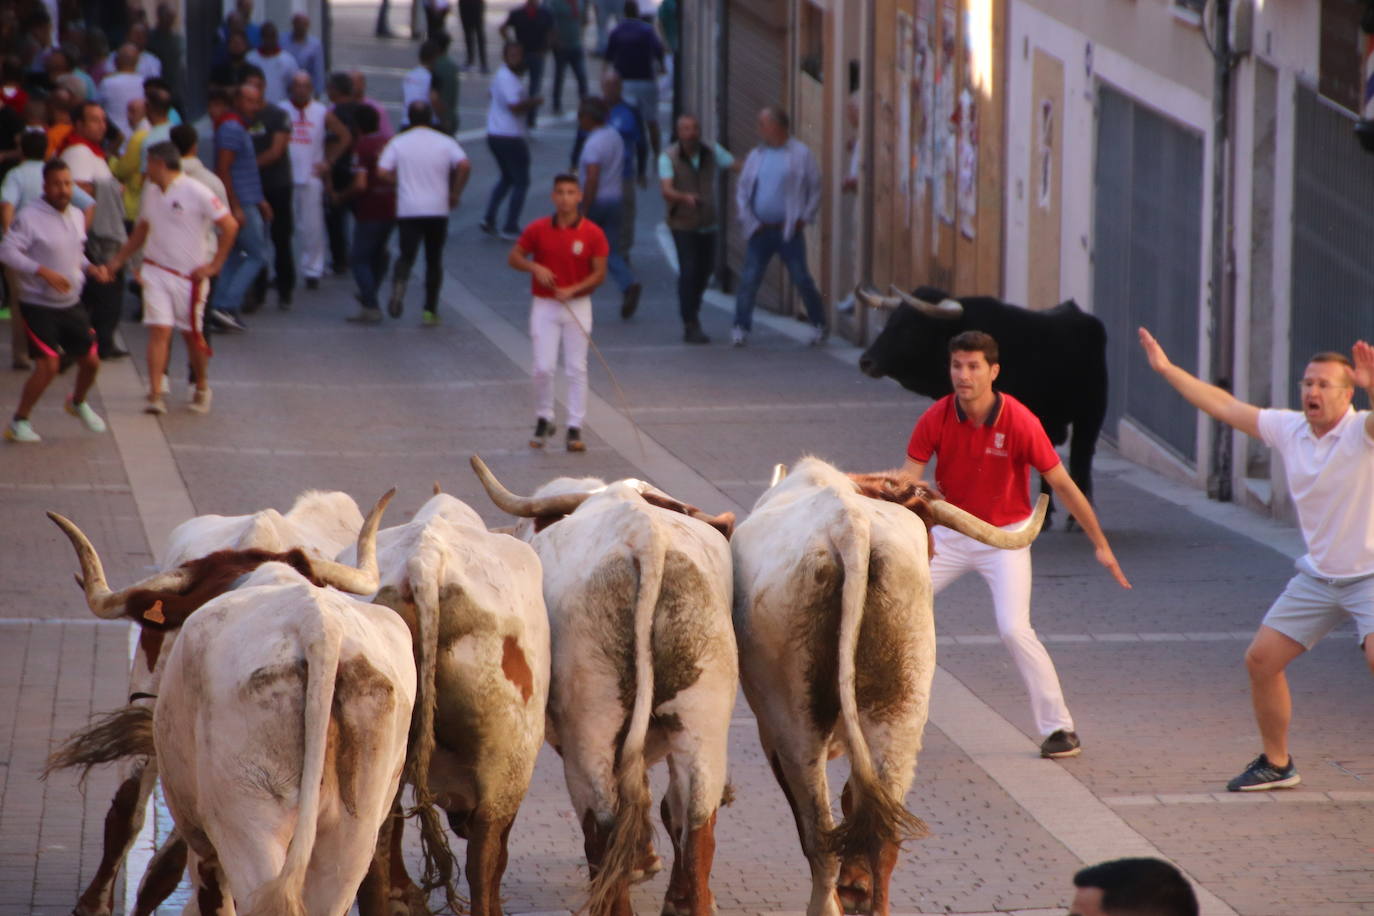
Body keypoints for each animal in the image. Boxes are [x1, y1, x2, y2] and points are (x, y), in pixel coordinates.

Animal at [472, 461, 741, 916]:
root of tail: (645, 536)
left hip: (590, 732)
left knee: (603, 823)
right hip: (701, 720)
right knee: (696, 821)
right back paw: (690, 899)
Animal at [730, 458, 1038, 916]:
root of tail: (848, 525)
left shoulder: (770, 734)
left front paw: (850, 887)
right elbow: (856, 798)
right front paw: (856, 885)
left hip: (794, 723)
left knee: (819, 835)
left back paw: (826, 902)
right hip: (902, 708)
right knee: (883, 830)